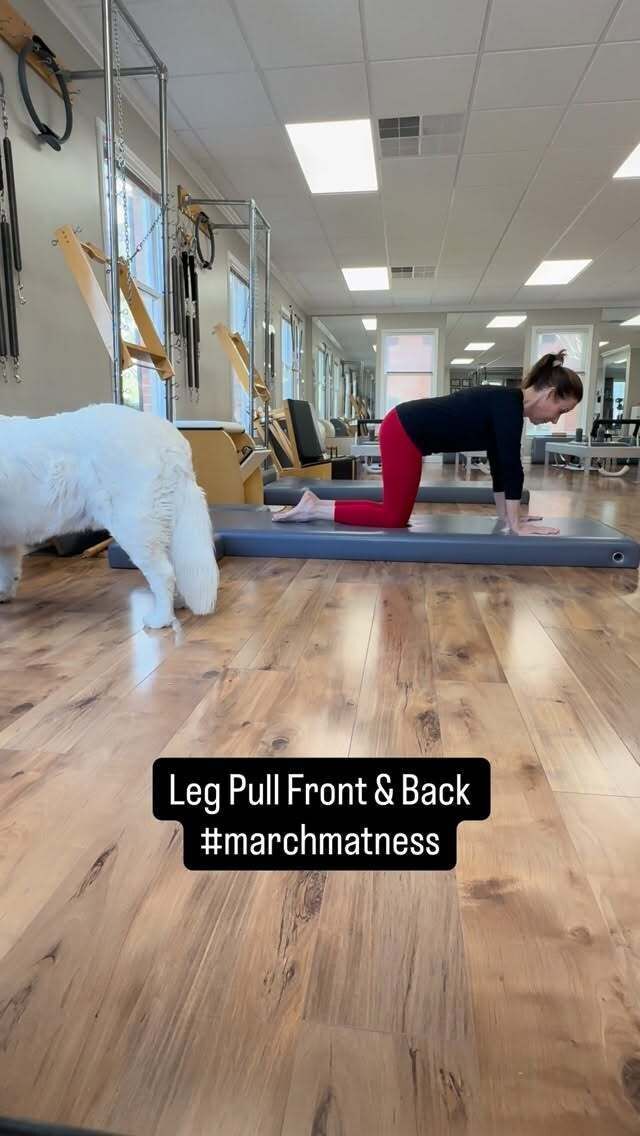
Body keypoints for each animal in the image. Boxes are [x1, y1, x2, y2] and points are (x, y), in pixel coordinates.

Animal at [0, 404, 218, 628]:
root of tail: (170, 439)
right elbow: (8, 569)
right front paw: (4, 594)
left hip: (135, 526)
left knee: (164, 573)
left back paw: (160, 618)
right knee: (173, 568)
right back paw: (178, 603)